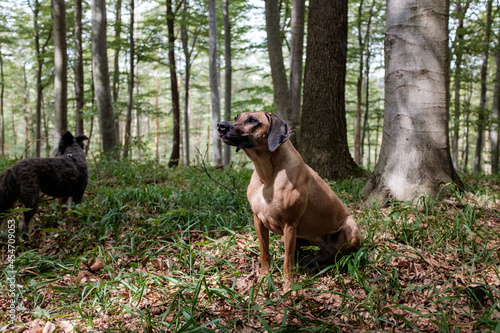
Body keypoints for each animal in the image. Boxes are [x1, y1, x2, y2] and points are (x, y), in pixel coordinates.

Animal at [219, 111, 364, 288]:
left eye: (253, 120)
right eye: (236, 117)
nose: (221, 125)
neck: (267, 175)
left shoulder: (289, 224)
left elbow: (288, 261)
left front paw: (289, 285)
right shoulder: (258, 221)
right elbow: (264, 253)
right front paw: (264, 277)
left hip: (351, 230)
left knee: (336, 255)